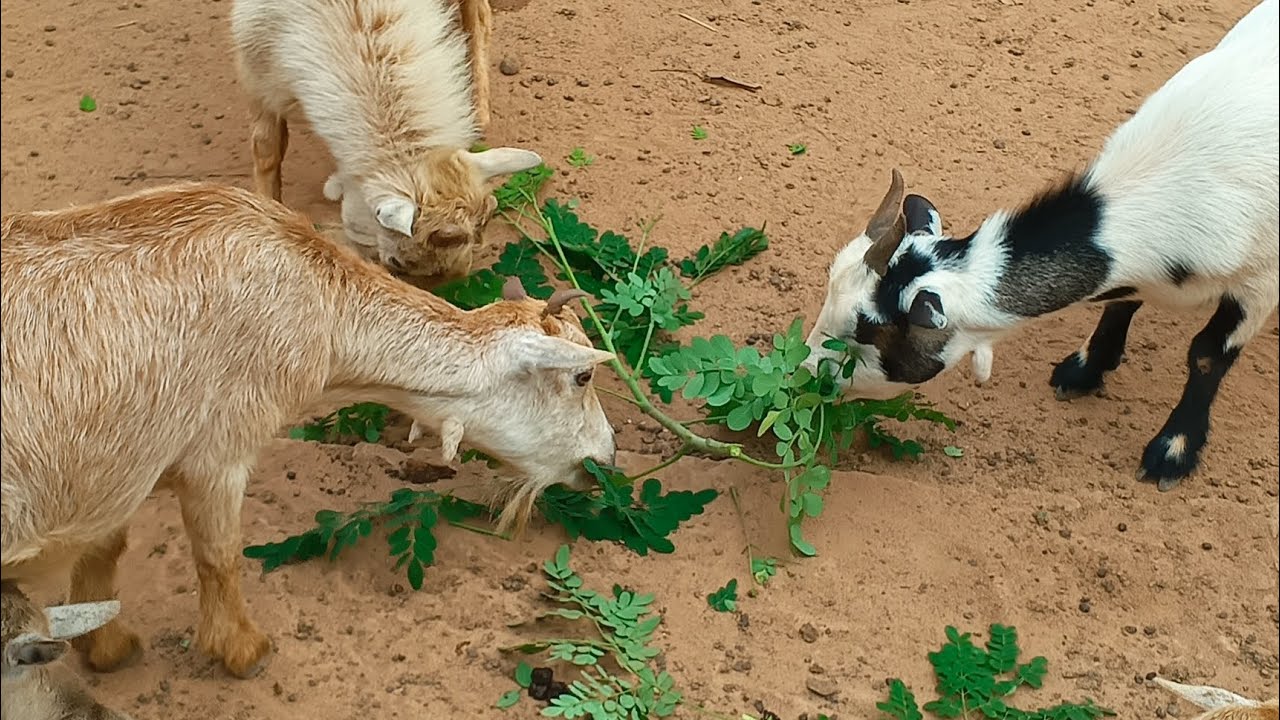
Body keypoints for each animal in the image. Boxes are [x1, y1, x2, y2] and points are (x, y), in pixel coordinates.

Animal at [1, 182, 617, 679]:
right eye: (582, 375)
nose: (605, 460)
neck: (317, 307)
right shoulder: (220, 448)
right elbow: (219, 556)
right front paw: (244, 651)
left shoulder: (123, 463)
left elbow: (106, 547)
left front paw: (106, 647)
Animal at [805, 0, 1278, 489]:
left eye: (862, 336)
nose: (805, 375)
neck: (1173, 179)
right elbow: (1120, 303)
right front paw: (1086, 369)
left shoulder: (1259, 283)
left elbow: (1206, 357)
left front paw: (1174, 450)